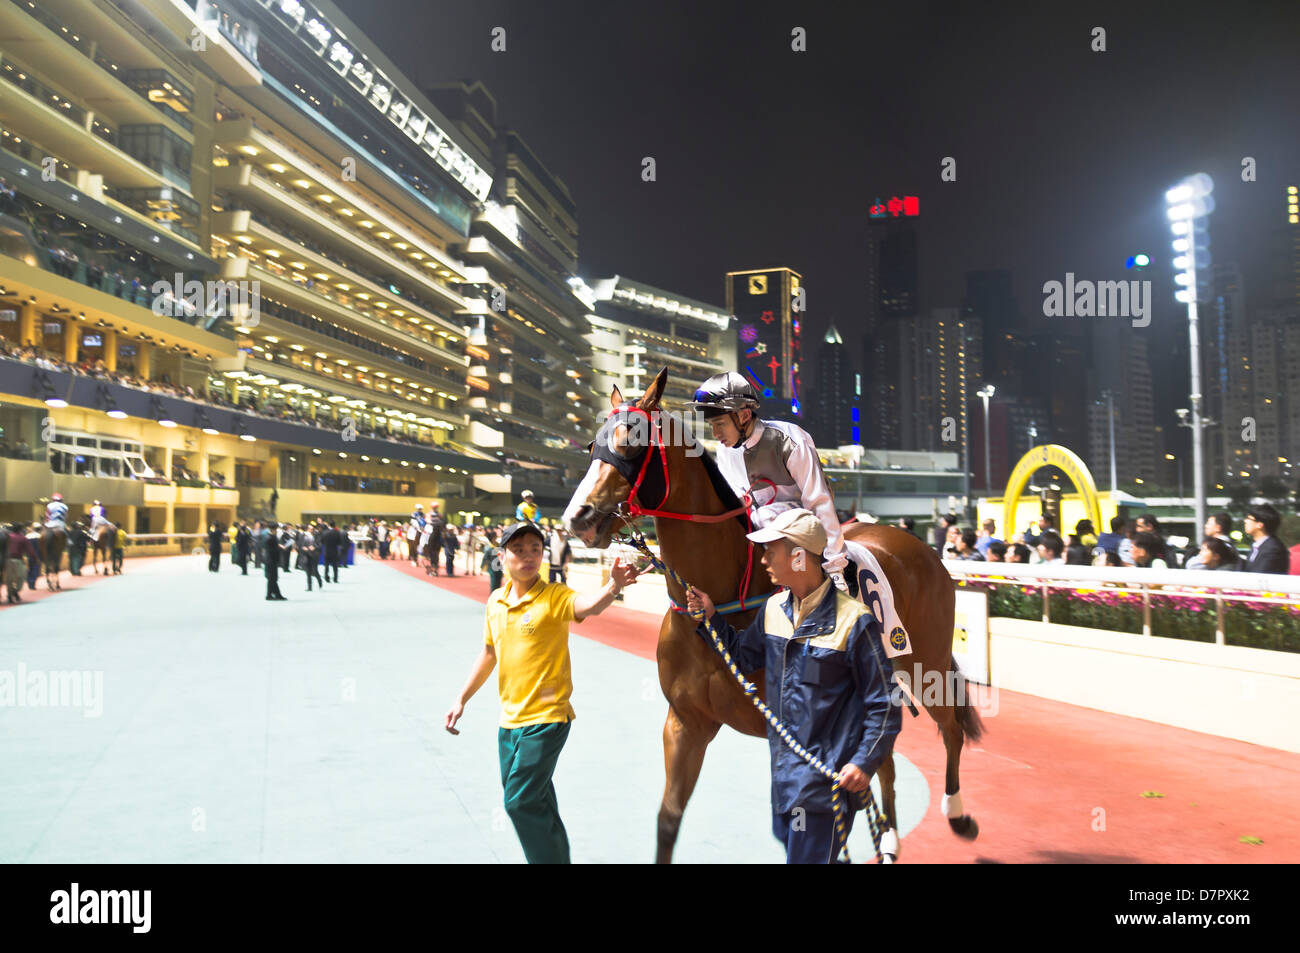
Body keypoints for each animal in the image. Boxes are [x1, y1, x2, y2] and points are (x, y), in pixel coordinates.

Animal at [564, 369, 977, 863]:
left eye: (630, 442)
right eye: (593, 444)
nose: (578, 517)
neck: (720, 605)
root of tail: (919, 547)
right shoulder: (685, 724)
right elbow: (667, 821)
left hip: (925, 662)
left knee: (951, 728)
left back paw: (957, 811)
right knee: (886, 758)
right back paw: (892, 838)